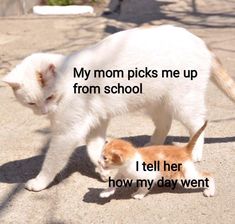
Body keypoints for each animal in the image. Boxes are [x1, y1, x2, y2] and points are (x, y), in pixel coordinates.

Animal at [2, 25, 235, 192]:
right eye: (32, 103)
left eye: (49, 97)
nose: (44, 112)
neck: (69, 82)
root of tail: (200, 42)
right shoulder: (96, 121)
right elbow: (94, 148)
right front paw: (102, 168)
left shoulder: (68, 132)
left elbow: (52, 162)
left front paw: (39, 182)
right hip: (157, 102)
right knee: (164, 123)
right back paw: (152, 146)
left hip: (183, 101)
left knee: (198, 123)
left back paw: (194, 152)